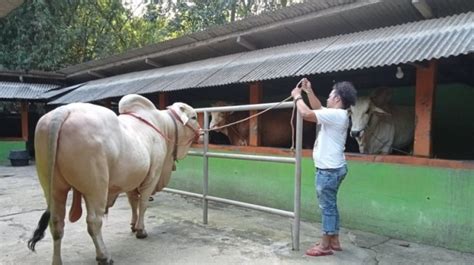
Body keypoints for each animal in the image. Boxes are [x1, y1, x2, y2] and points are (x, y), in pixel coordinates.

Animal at [28, 94, 200, 262]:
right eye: (194, 117)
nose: (201, 133)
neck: (164, 126)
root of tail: (63, 111)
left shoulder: (132, 179)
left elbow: (133, 202)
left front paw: (133, 225)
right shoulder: (152, 176)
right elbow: (143, 204)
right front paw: (141, 230)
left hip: (53, 187)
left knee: (56, 223)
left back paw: (57, 260)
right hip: (96, 188)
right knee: (93, 222)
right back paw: (103, 256)